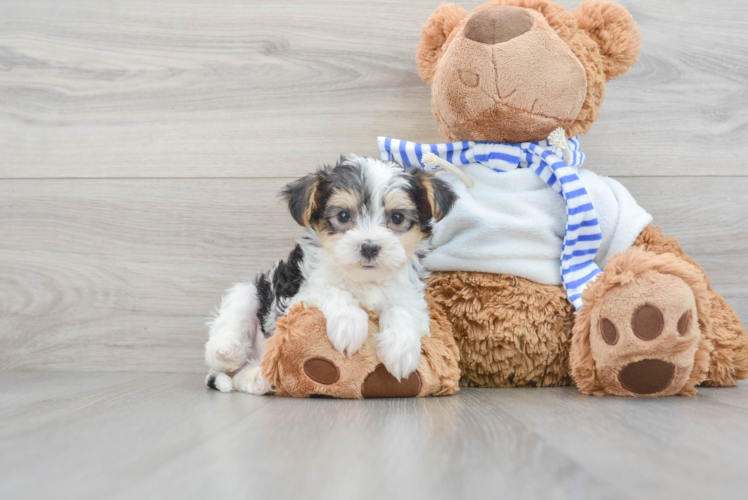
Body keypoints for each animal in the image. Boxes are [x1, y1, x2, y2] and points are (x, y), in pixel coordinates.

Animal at [202, 156, 456, 394]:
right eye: (343, 216)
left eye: (397, 217)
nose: (370, 247)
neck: (363, 280)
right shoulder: (297, 296)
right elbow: (332, 291)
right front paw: (349, 325)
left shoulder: (410, 295)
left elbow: (404, 310)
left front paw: (400, 350)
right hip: (251, 292)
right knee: (226, 336)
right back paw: (229, 351)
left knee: (244, 375)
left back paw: (258, 378)